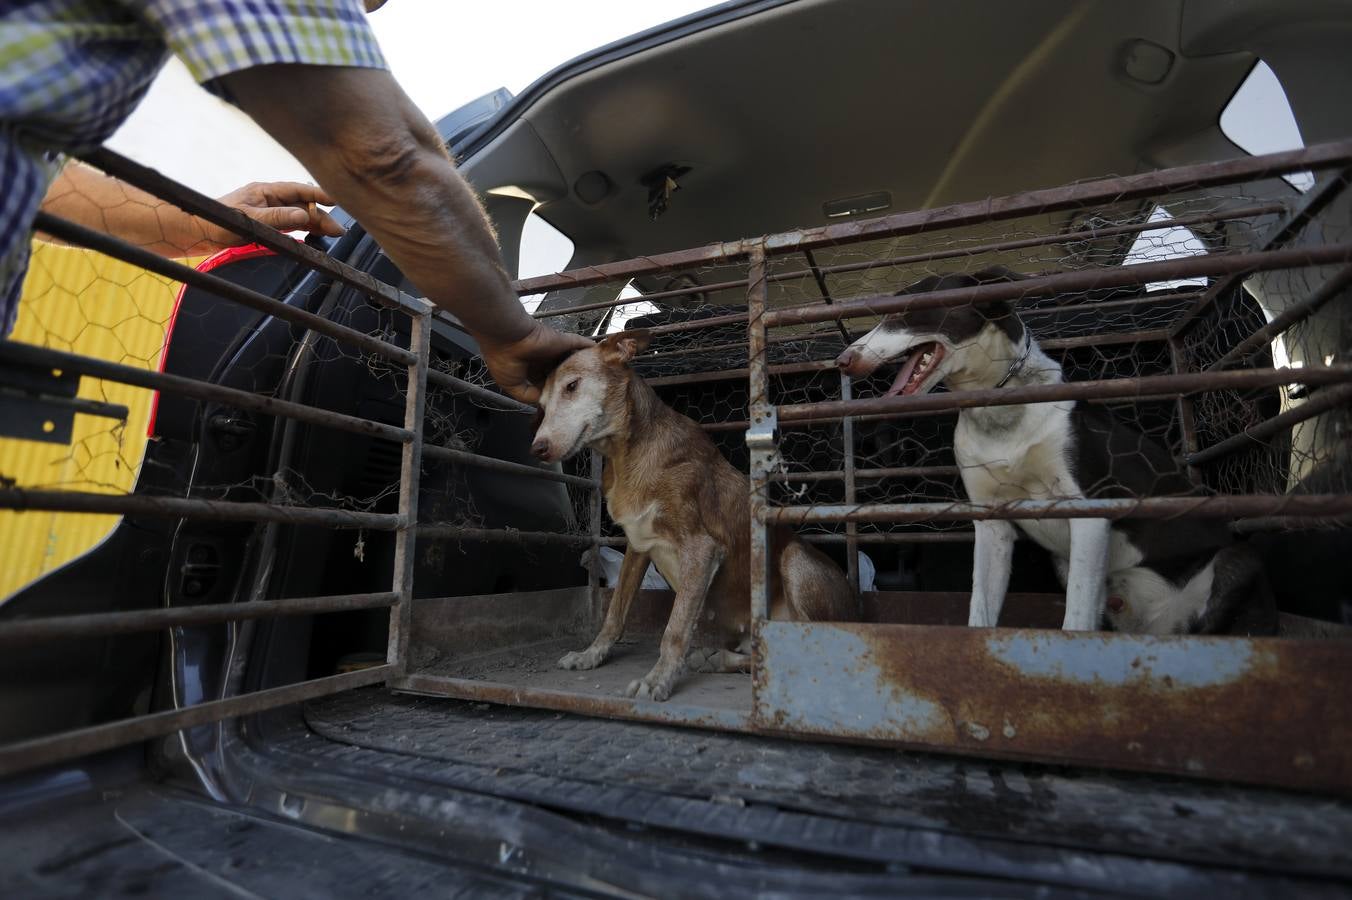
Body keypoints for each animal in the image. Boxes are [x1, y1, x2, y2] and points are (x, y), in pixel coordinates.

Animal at [529, 331, 854, 702]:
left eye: (571, 386)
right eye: (542, 403)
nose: (537, 449)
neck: (627, 455)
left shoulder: (703, 549)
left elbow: (675, 627)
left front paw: (658, 679)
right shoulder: (638, 545)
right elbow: (615, 613)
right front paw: (591, 655)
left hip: (795, 560)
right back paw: (714, 657)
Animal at [838, 264, 1270, 629]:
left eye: (904, 312)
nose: (843, 360)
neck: (997, 407)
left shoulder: (1088, 511)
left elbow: (1074, 619)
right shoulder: (992, 524)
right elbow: (981, 611)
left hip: (1239, 561)